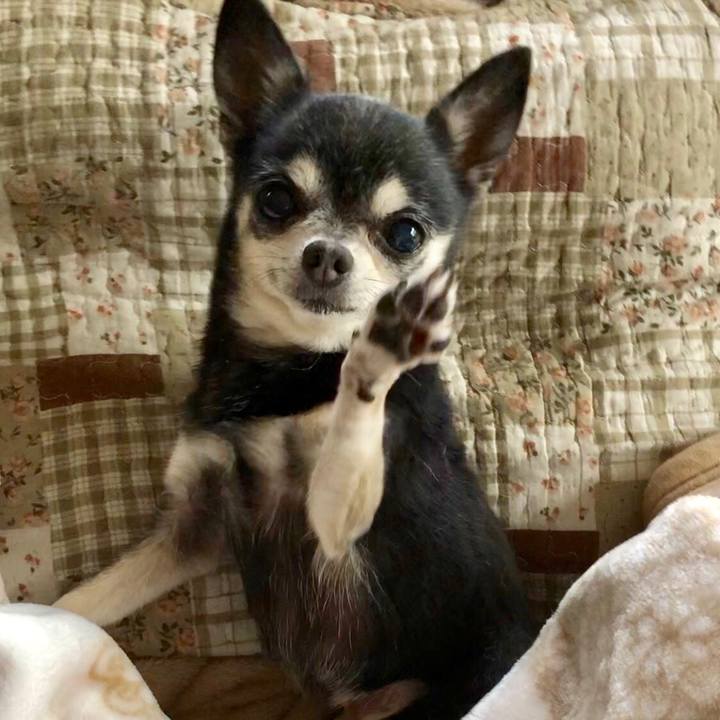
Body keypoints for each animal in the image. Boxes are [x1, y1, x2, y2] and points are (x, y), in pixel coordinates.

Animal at [55, 1, 534, 717]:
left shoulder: (339, 527)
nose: (327, 254)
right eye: (277, 198)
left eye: (405, 233)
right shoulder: (192, 528)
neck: (291, 370)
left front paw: (379, 351)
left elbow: (354, 418)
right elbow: (83, 601)